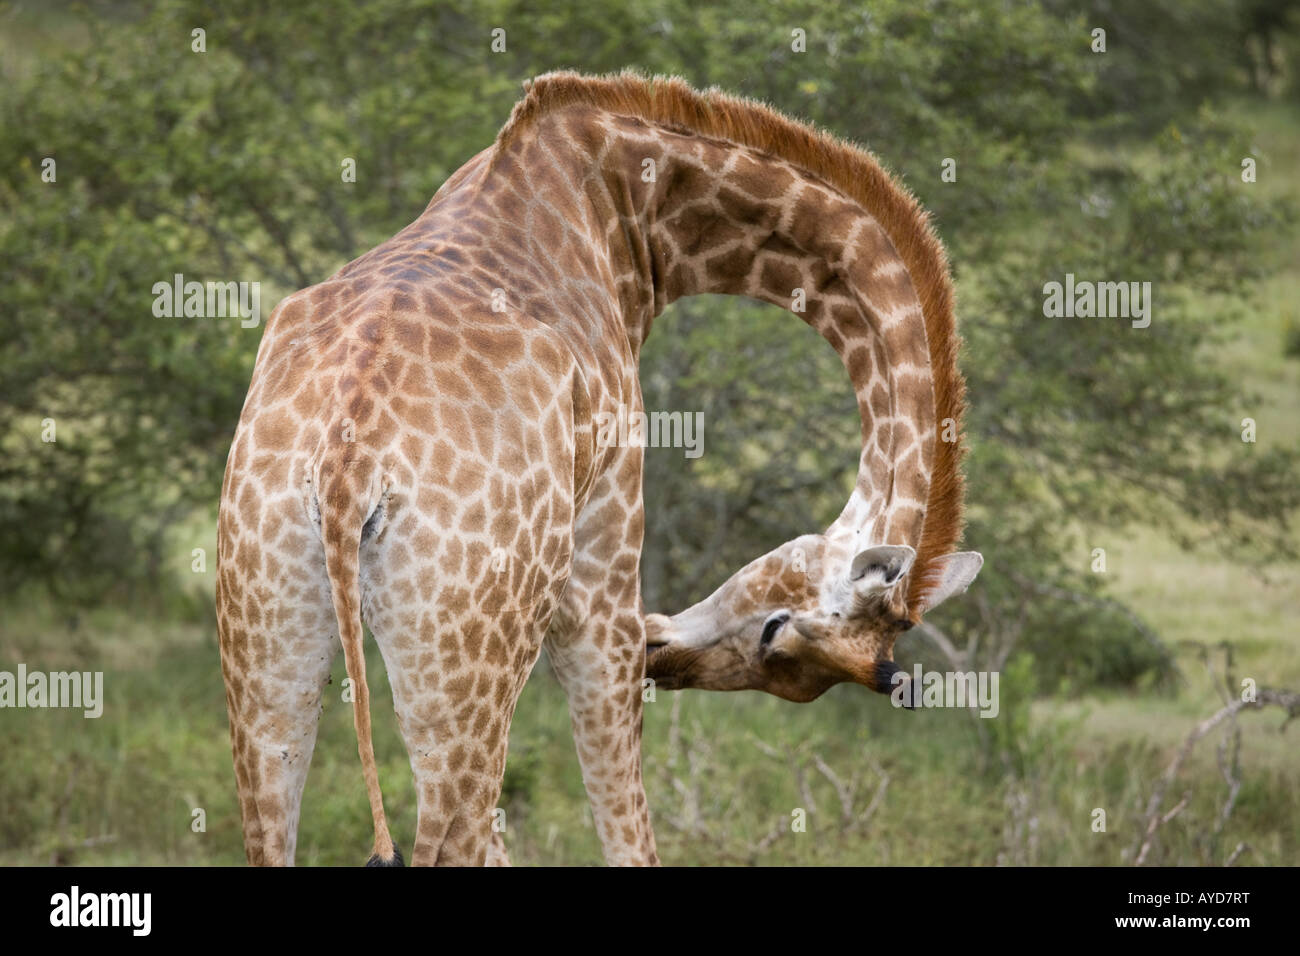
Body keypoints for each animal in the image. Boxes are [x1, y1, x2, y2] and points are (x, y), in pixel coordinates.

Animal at [216, 70, 979, 867]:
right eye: (775, 631)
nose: (662, 656)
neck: (631, 209)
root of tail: (346, 469)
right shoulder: (603, 571)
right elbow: (627, 829)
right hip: (470, 659)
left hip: (264, 633)